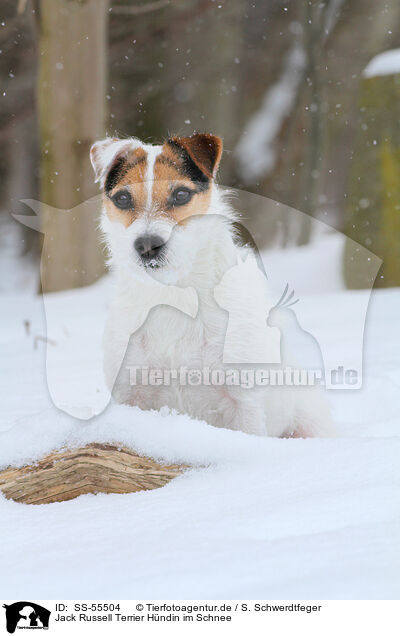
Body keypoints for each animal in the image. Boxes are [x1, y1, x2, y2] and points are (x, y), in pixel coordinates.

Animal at [91, 131, 334, 434]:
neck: (175, 294)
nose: (147, 245)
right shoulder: (130, 394)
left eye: (181, 194)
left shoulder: (244, 403)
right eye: (123, 198)